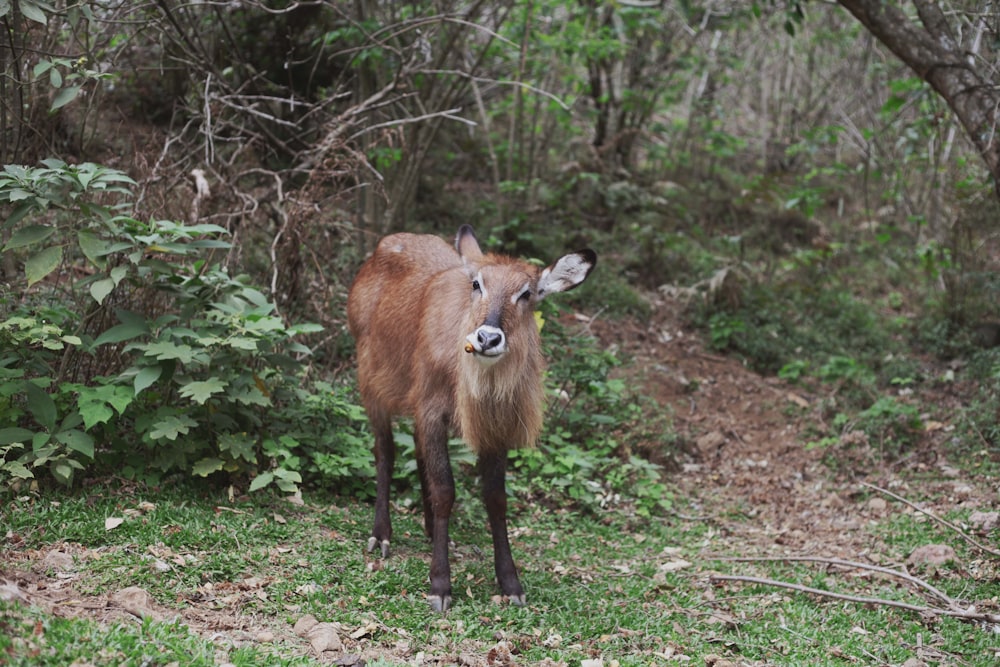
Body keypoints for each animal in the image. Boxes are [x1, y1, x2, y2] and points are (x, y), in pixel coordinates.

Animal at [346, 224, 592, 612]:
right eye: (477, 284)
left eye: (526, 293)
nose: (488, 338)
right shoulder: (431, 409)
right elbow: (445, 490)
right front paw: (440, 584)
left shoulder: (493, 426)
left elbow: (495, 497)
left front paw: (510, 582)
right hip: (372, 381)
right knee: (384, 452)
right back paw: (381, 535)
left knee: (418, 454)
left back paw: (431, 529)